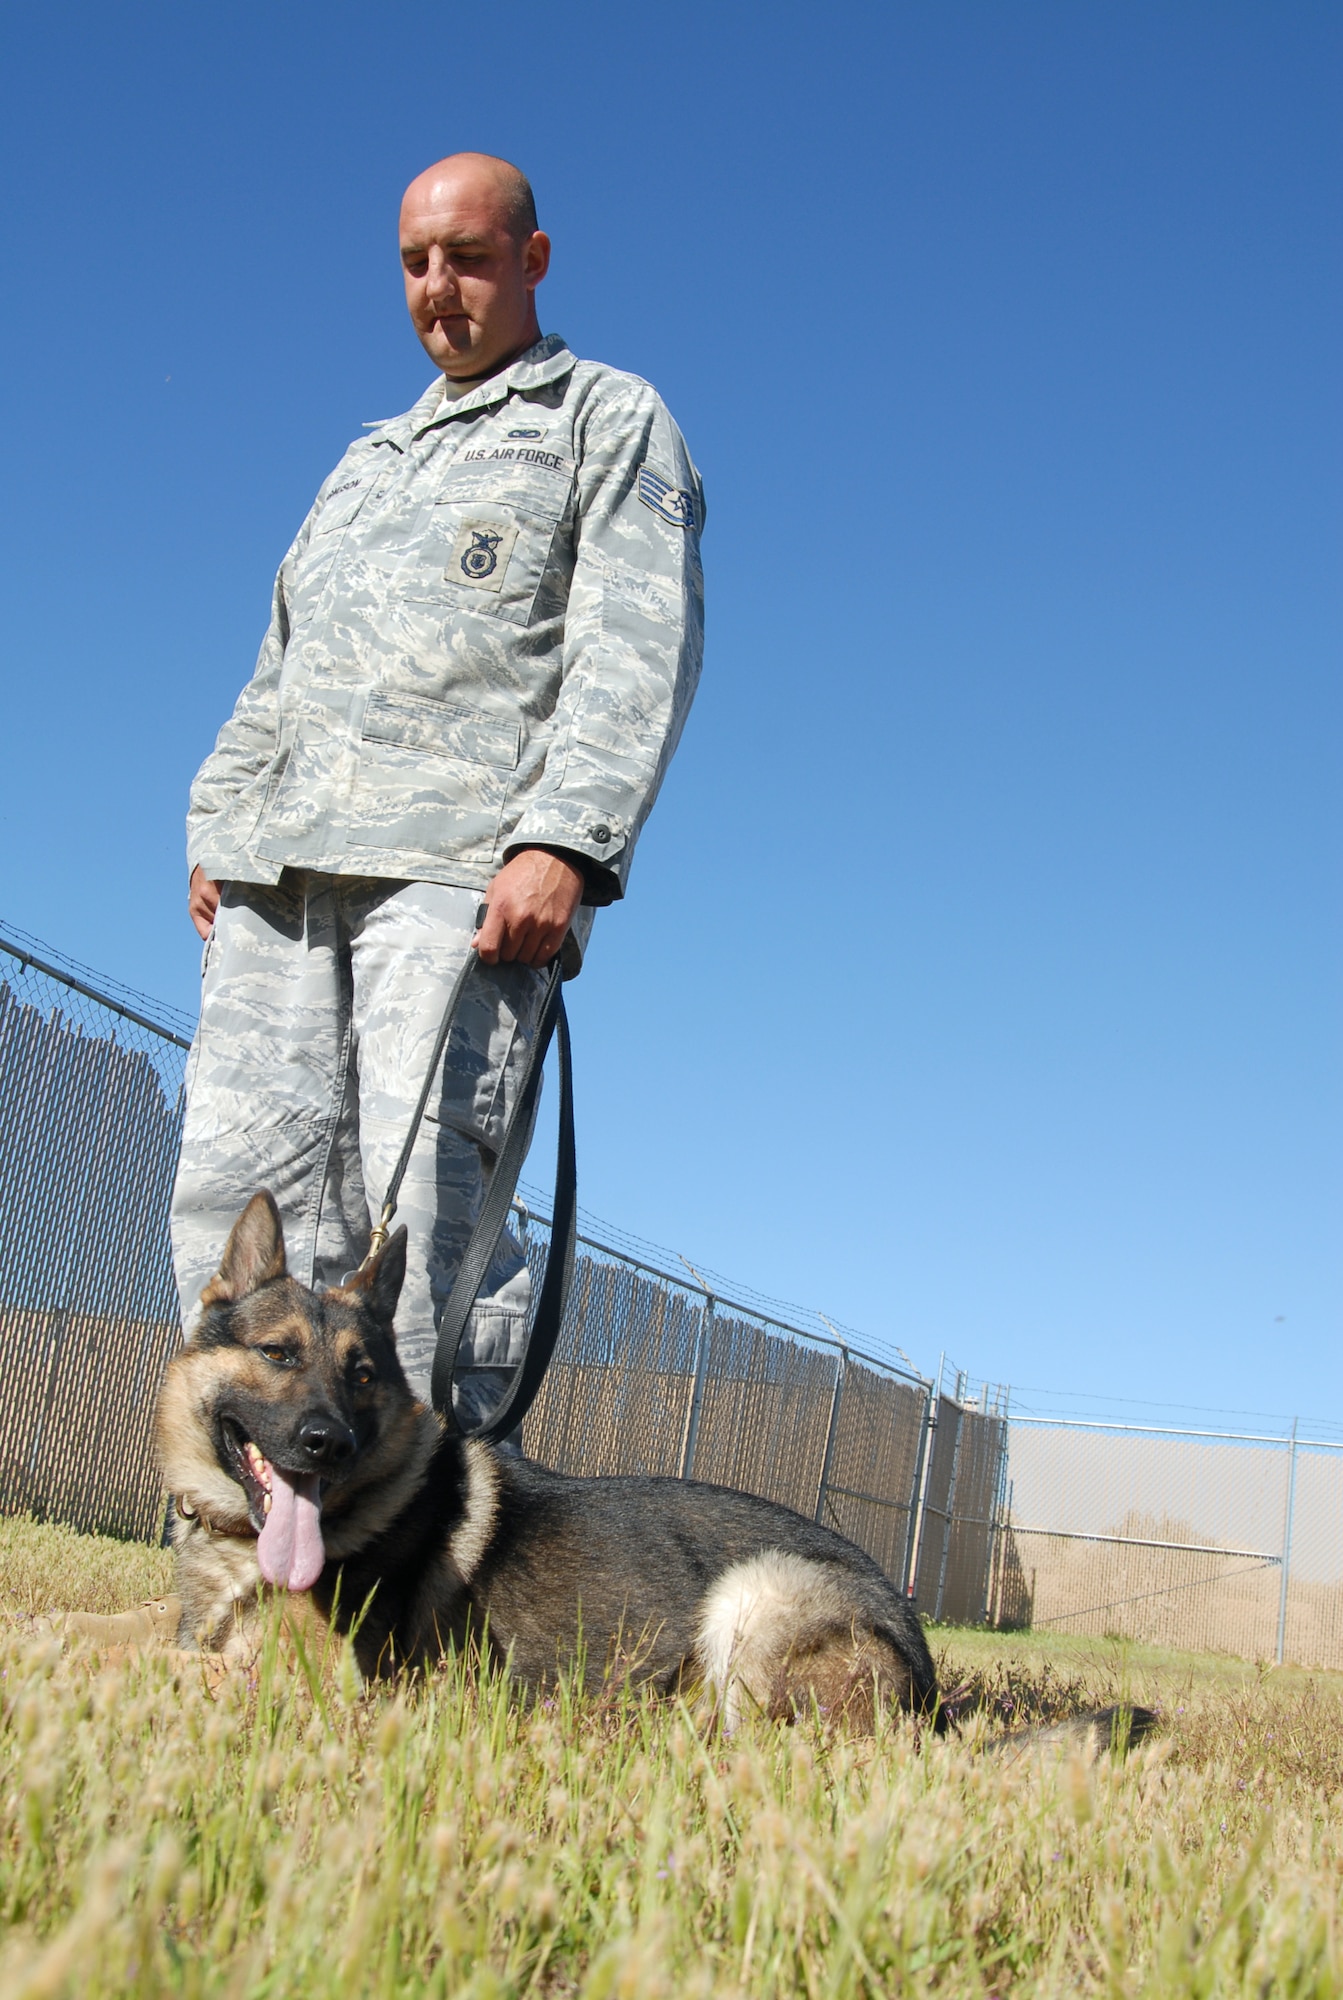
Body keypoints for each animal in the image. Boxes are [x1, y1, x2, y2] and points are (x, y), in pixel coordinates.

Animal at [162, 1184, 1151, 1752]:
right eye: (280, 1355)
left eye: (361, 1375)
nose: (326, 1442)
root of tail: (931, 1690)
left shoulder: (313, 1684)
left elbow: (152, 1664)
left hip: (754, 1593)